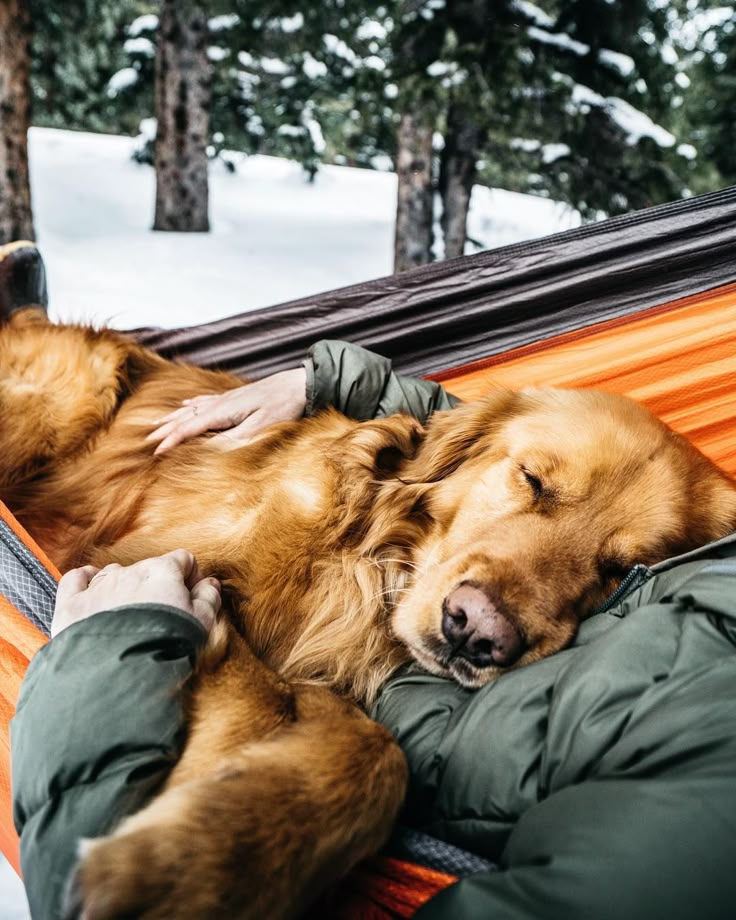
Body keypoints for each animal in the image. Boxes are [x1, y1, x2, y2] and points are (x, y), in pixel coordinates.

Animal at [4, 310, 736, 920]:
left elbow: (376, 751)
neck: (362, 562)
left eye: (619, 569)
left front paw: (208, 856)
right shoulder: (151, 558)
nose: (479, 632)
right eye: (532, 479)